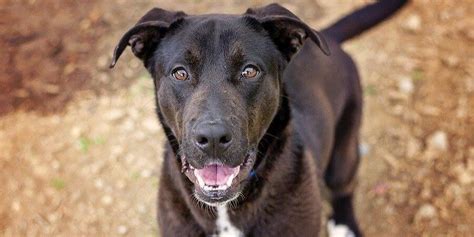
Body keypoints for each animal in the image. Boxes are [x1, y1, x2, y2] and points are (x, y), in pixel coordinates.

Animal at [111, 0, 408, 236]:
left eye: (249, 71)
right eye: (180, 73)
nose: (213, 138)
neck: (225, 210)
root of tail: (328, 35)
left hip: (344, 150)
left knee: (344, 189)